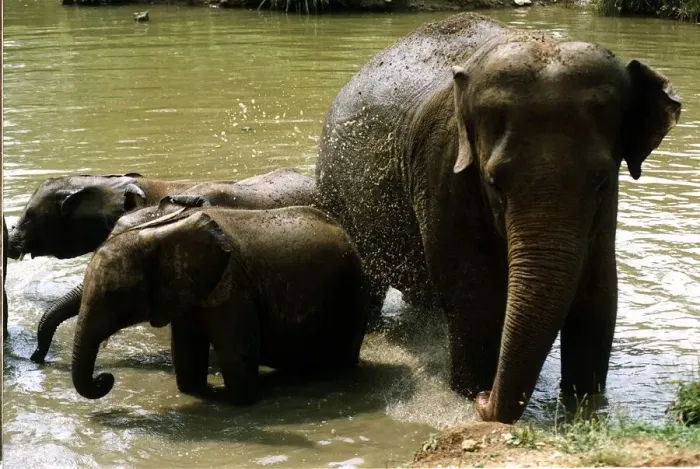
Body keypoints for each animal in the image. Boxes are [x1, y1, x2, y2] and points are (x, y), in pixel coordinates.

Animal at [71, 206, 369, 404]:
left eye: (114, 296)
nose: (106, 379)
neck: (161, 230)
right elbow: (185, 354)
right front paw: (196, 393)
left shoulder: (232, 287)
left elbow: (237, 355)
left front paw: (239, 402)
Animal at [315, 13, 681, 423]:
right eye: (494, 182)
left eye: (602, 181)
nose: (484, 400)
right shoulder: (442, 169)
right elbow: (476, 295)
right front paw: (466, 394)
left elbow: (599, 294)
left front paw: (584, 405)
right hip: (336, 190)